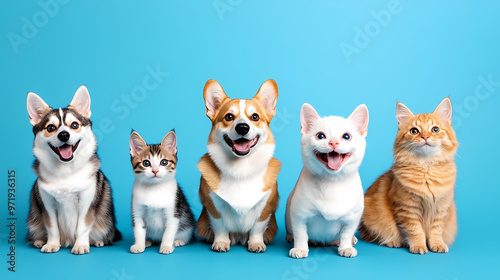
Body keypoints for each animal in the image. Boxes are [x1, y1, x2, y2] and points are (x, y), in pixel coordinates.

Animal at [26, 86, 121, 255]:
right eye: (51, 128)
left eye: (75, 125)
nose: (64, 134)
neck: (66, 170)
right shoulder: (48, 205)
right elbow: (52, 228)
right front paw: (52, 244)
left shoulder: (86, 202)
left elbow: (82, 227)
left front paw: (81, 245)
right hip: (34, 221)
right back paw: (38, 241)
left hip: (106, 222)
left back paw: (98, 241)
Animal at [195, 79, 282, 254]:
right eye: (229, 116)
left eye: (255, 117)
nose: (242, 127)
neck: (241, 168)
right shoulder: (213, 205)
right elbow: (220, 226)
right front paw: (221, 243)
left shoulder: (265, 206)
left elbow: (257, 228)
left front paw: (256, 244)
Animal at [286, 103, 368, 258]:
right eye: (320, 136)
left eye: (346, 136)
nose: (334, 142)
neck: (332, 181)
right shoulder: (299, 215)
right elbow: (301, 233)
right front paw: (300, 248)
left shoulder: (352, 218)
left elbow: (346, 233)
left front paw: (346, 246)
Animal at [360, 98, 458, 254]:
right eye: (414, 131)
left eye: (435, 129)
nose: (425, 136)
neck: (426, 167)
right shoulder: (406, 208)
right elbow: (415, 231)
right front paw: (418, 246)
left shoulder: (442, 208)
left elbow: (436, 231)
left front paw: (437, 245)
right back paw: (393, 242)